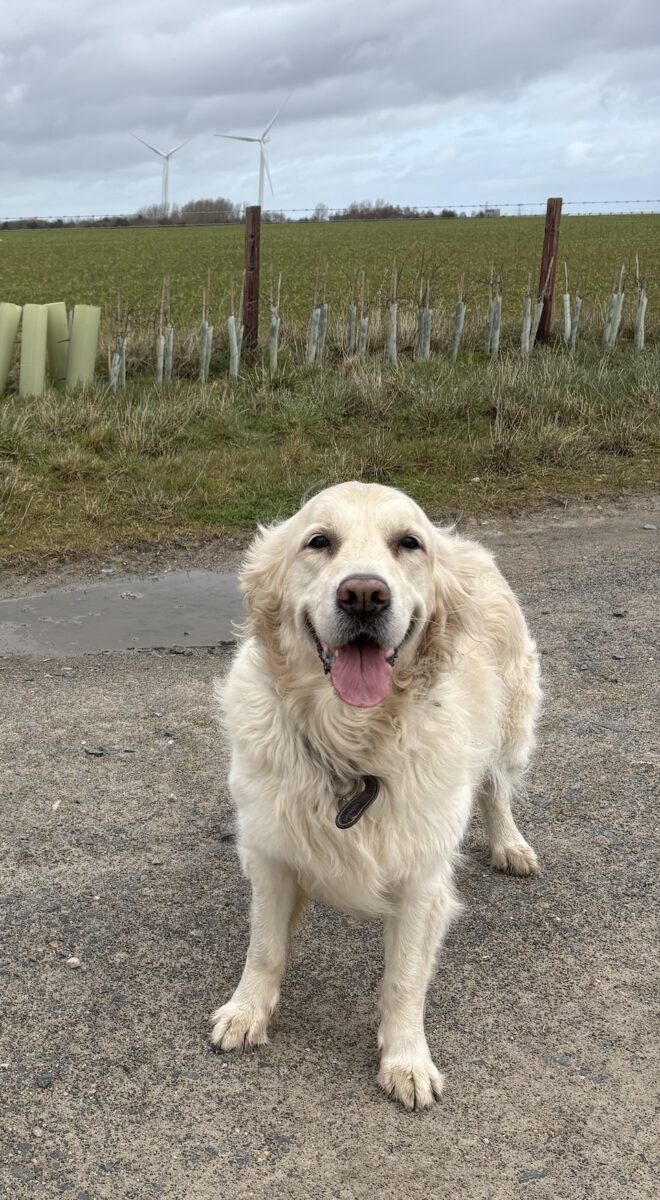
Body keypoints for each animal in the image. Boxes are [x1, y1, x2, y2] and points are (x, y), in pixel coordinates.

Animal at [210, 482, 540, 1109]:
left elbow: (404, 977)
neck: (352, 740)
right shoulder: (270, 853)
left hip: (511, 724)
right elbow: (264, 946)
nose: (364, 595)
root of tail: (467, 544)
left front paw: (406, 1059)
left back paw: (509, 844)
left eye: (409, 543)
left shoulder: (422, 879)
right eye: (318, 541)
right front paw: (246, 1012)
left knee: (496, 786)